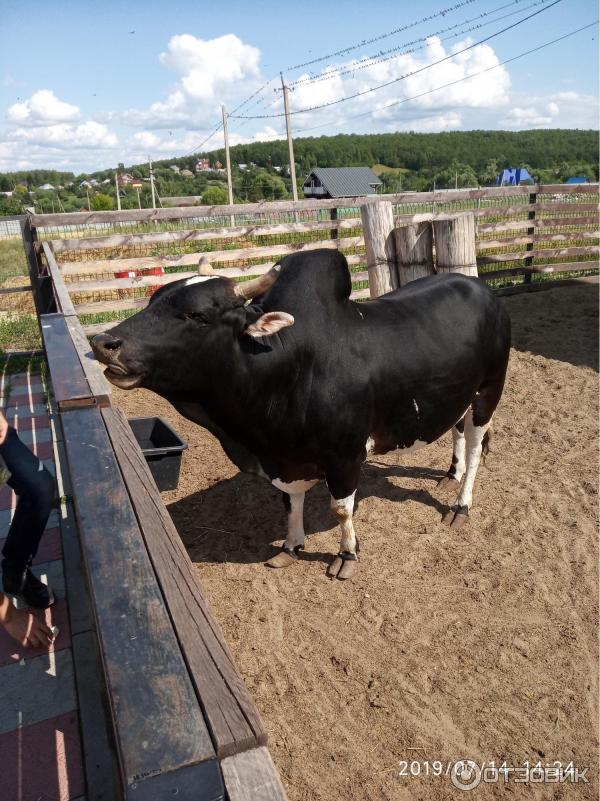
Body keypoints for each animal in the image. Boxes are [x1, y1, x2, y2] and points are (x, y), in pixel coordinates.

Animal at [94, 247, 510, 580]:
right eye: (153, 300)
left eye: (196, 315)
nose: (104, 342)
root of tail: (481, 288)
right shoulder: (285, 460)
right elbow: (289, 502)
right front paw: (291, 546)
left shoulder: (344, 456)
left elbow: (340, 509)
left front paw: (346, 555)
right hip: (456, 394)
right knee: (457, 429)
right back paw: (450, 474)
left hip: (488, 393)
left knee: (476, 449)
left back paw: (461, 503)